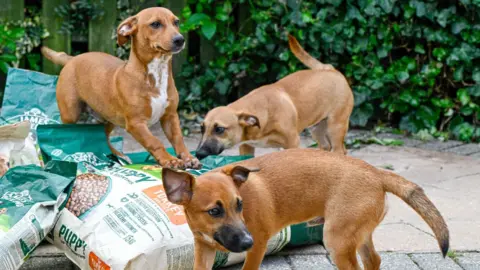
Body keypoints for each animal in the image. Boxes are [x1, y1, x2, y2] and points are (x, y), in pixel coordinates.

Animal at [39, 7, 201, 169]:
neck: (157, 74)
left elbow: (178, 139)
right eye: (155, 24)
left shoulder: (170, 116)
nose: (180, 40)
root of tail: (72, 59)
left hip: (109, 118)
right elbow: (154, 141)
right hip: (70, 114)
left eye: (176, 22)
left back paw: (118, 155)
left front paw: (188, 158)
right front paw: (169, 160)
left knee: (104, 137)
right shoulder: (136, 123)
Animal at [162, 149, 450, 268]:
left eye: (239, 204)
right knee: (374, 260)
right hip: (358, 233)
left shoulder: (257, 248)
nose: (246, 241)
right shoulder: (204, 249)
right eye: (214, 211)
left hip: (337, 240)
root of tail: (376, 173)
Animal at [193, 34, 354, 159]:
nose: (199, 154)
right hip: (317, 128)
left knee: (339, 150)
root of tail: (330, 69)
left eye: (219, 129)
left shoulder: (292, 142)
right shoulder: (246, 147)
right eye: (201, 128)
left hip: (335, 126)